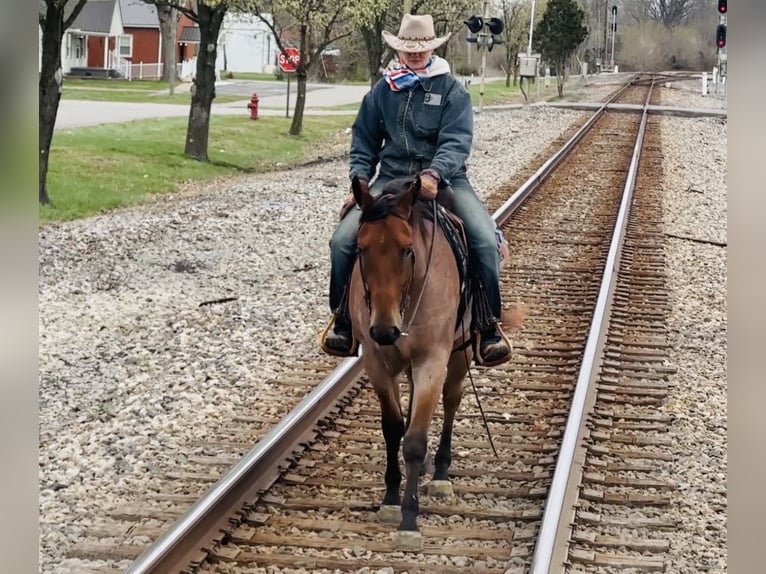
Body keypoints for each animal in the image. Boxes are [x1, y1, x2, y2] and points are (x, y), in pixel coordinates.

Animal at [346, 174, 524, 548]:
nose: (384, 329)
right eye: (361, 249)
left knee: (452, 401)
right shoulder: (377, 361)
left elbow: (414, 440)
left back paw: (440, 471)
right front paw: (390, 498)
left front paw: (409, 520)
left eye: (407, 249)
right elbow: (393, 427)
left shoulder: (432, 360)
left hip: (459, 353)